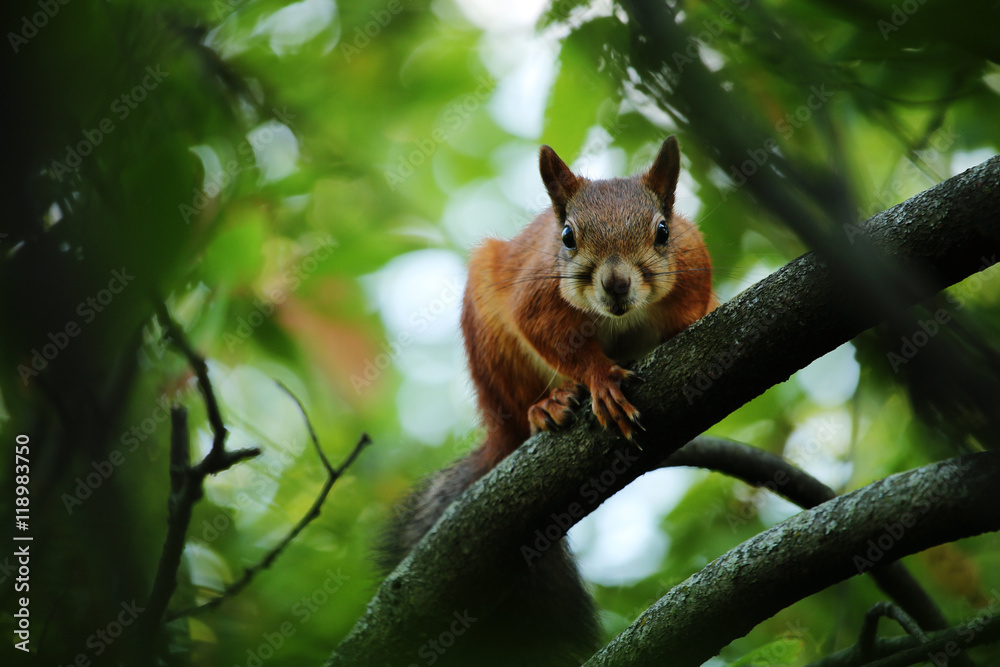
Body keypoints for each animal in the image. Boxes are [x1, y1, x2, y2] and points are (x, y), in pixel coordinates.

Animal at [378, 136, 716, 666]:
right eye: (568, 237)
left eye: (663, 231)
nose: (616, 283)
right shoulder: (536, 299)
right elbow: (559, 343)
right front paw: (599, 380)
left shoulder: (693, 269)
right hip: (494, 352)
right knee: (518, 409)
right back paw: (546, 407)